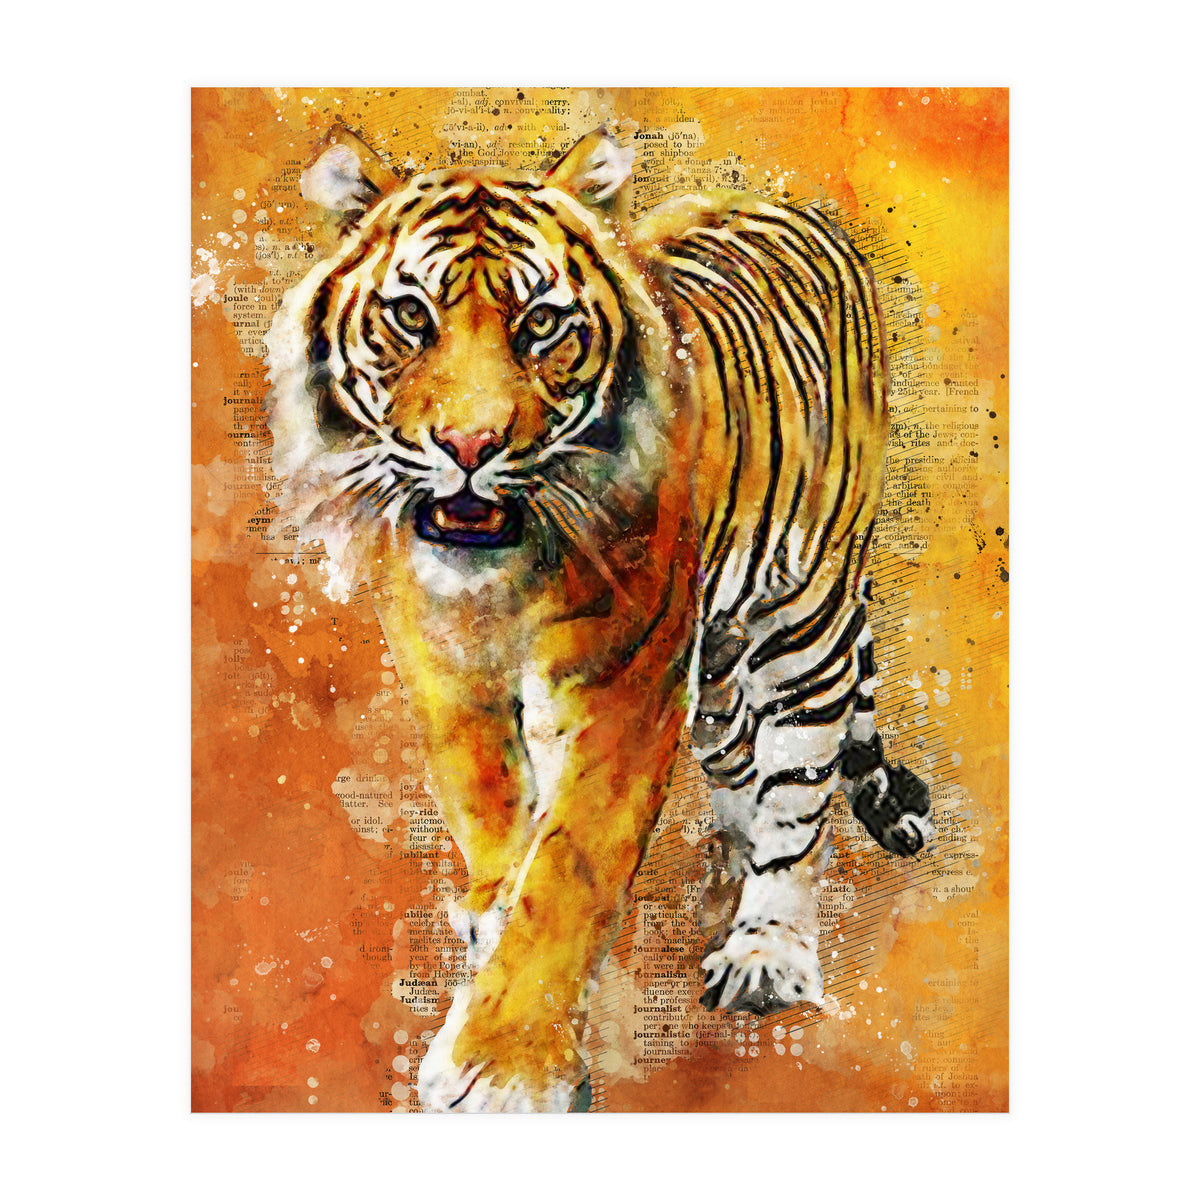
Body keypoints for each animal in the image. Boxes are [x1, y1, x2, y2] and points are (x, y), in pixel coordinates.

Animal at [264, 124, 932, 1113]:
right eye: (412, 317)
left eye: (541, 323)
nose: (469, 446)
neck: (497, 579)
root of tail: (792, 206)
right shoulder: (444, 664)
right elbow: (491, 813)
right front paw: (489, 925)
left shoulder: (625, 683)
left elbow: (570, 869)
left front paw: (504, 1065)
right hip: (720, 657)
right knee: (741, 757)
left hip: (803, 611)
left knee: (799, 786)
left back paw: (765, 948)